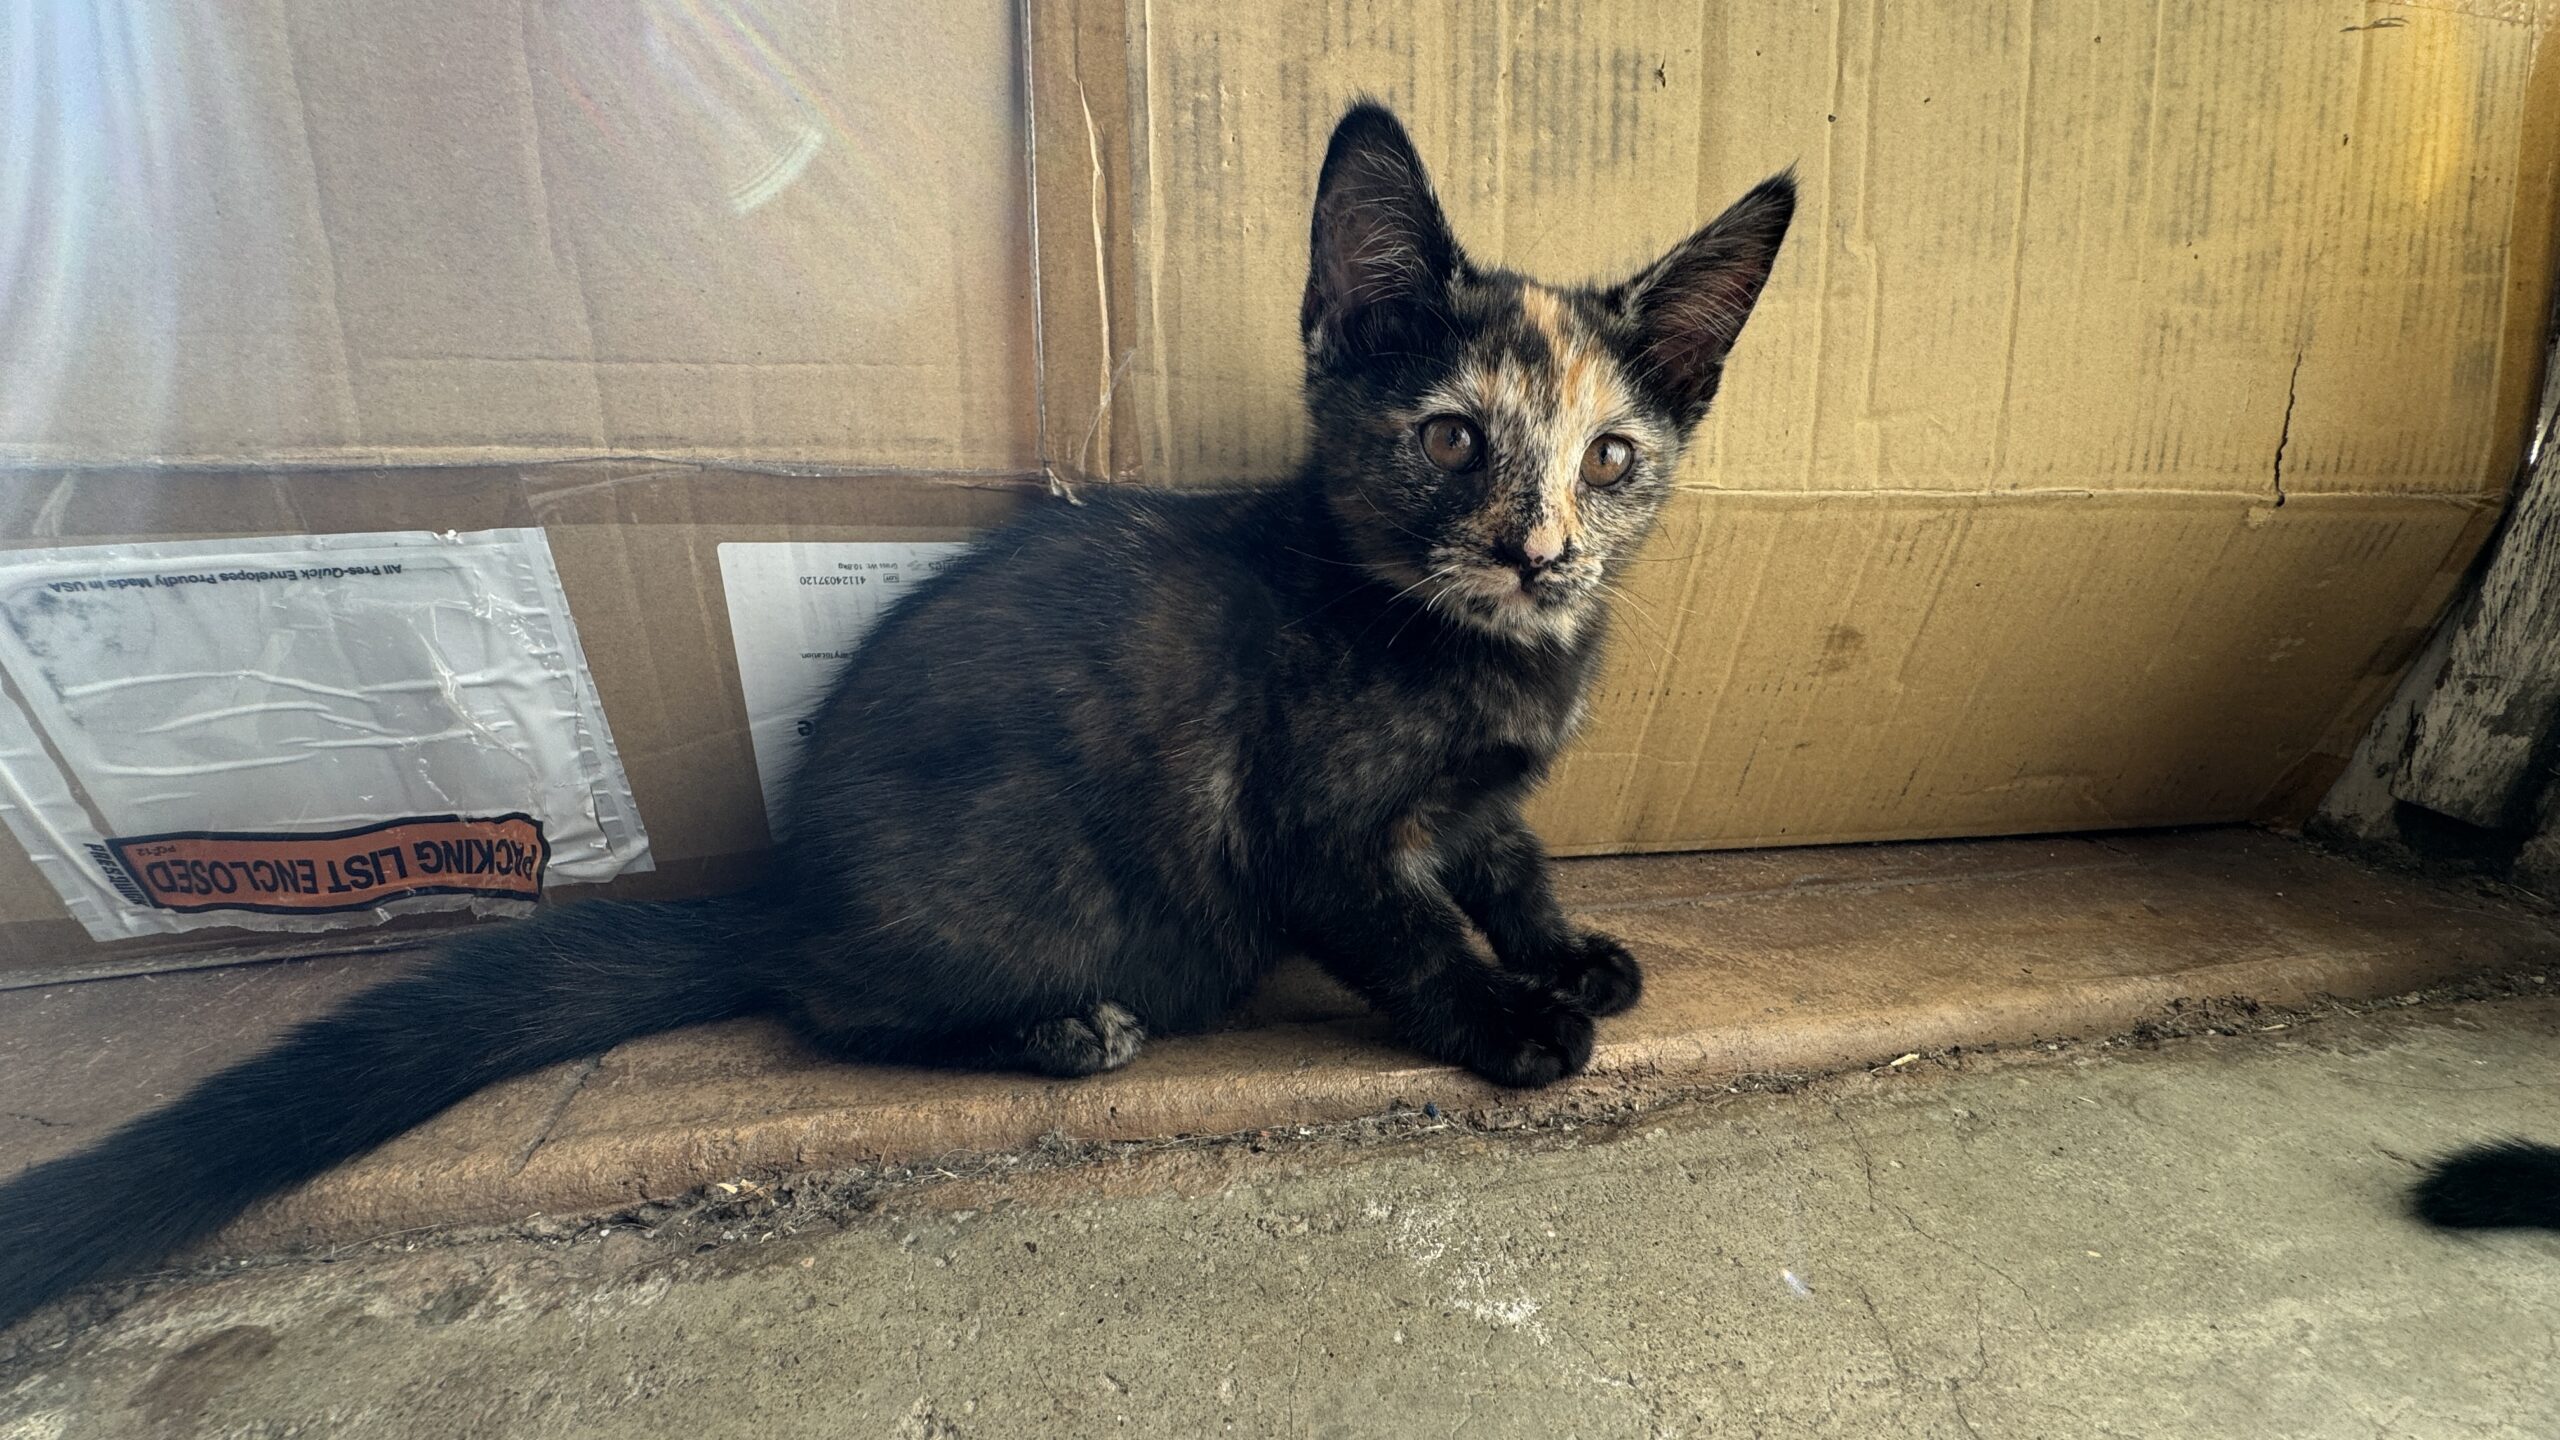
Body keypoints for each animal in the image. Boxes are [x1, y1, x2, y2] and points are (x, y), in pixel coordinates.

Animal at [0, 100, 1793, 1331]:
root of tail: (791, 883)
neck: (1473, 647)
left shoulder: (1485, 798)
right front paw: (1511, 1021)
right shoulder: (1311, 829)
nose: (1542, 553)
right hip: (1030, 878)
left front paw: (1567, 950)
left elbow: (1506, 862)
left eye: (1612, 460)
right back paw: (1056, 1032)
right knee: (832, 1004)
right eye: (1447, 440)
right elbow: (1413, 931)